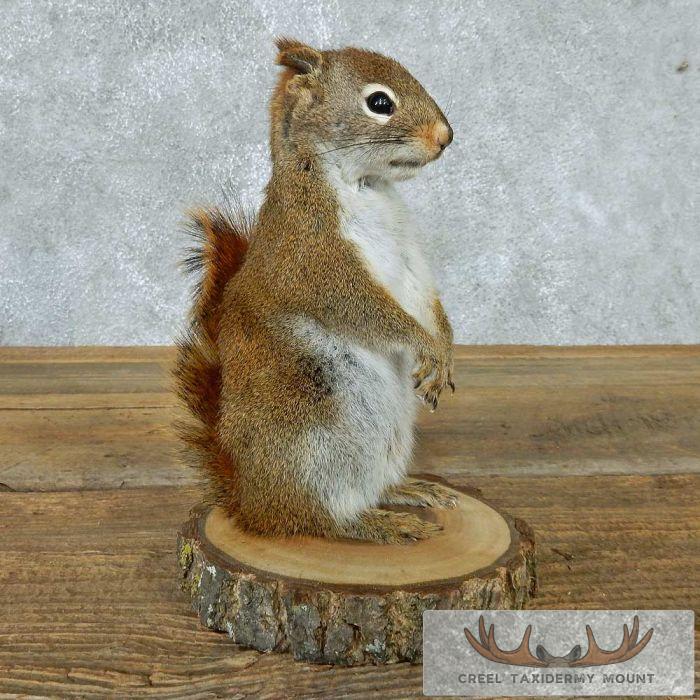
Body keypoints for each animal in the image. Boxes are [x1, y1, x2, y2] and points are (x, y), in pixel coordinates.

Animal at [175, 38, 456, 544]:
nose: (446, 137)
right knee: (317, 518)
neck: (366, 186)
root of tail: (250, 502)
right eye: (379, 102)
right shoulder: (314, 256)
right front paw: (424, 344)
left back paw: (409, 490)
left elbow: (427, 298)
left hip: (387, 438)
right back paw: (377, 523)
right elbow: (362, 308)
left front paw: (443, 345)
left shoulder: (411, 259)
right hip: (311, 443)